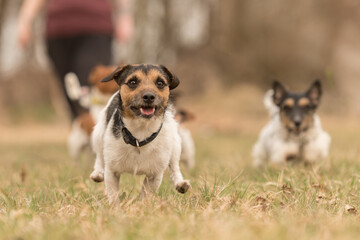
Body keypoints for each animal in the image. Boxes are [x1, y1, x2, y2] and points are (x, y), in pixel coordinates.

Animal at [90, 63, 191, 202]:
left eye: (160, 83)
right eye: (133, 82)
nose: (149, 96)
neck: (140, 132)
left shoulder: (154, 175)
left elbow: (146, 195)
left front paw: (142, 205)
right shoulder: (111, 172)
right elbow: (114, 196)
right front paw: (115, 207)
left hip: (176, 144)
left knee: (174, 167)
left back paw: (180, 183)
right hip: (98, 135)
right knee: (99, 156)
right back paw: (98, 173)